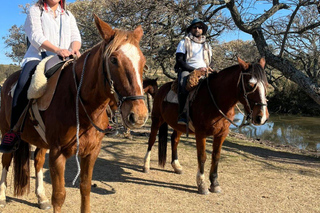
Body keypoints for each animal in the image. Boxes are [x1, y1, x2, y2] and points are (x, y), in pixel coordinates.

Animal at [0, 14, 148, 211]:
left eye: (143, 63)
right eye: (113, 60)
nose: (138, 115)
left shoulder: (91, 152)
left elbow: (85, 188)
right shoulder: (57, 154)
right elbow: (59, 196)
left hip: (41, 141)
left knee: (38, 161)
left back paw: (41, 198)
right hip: (6, 132)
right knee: (6, 159)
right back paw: (2, 197)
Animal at [142, 57, 268, 194]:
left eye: (266, 85)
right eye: (250, 85)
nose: (262, 117)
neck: (216, 100)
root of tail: (162, 88)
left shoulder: (221, 134)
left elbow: (216, 156)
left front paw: (214, 183)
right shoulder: (201, 133)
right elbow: (202, 156)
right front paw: (202, 184)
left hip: (178, 126)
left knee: (174, 140)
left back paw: (177, 166)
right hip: (156, 120)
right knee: (151, 140)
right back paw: (146, 165)